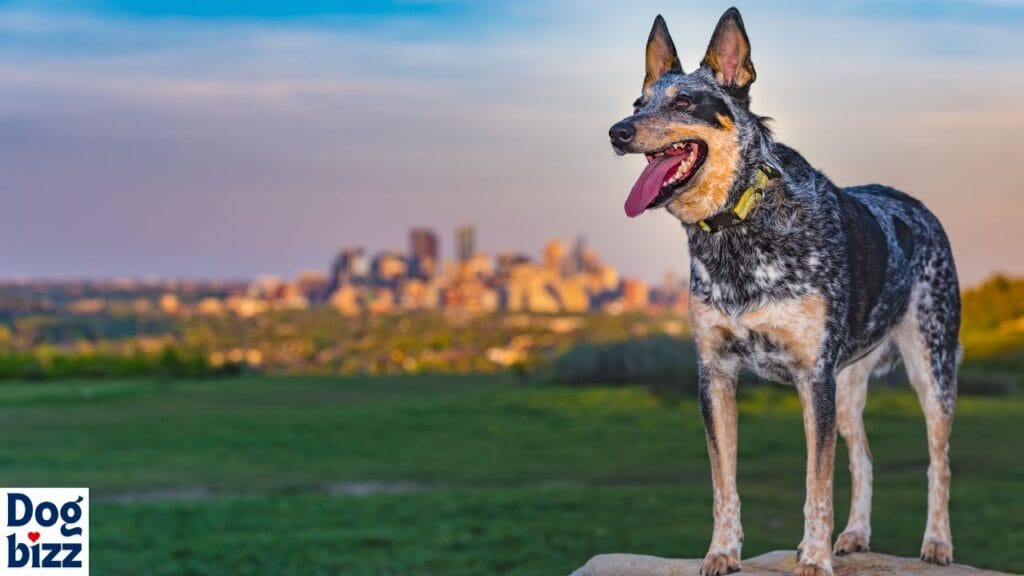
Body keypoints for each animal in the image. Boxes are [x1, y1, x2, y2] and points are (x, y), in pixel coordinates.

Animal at [606, 7, 958, 573]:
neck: (739, 226)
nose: (617, 131)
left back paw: (937, 543)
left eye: (683, 102)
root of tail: (919, 208)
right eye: (639, 103)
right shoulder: (716, 374)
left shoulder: (813, 378)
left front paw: (813, 559)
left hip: (932, 367)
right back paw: (855, 535)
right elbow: (723, 483)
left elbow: (817, 484)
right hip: (849, 385)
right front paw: (722, 552)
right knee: (864, 458)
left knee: (939, 461)